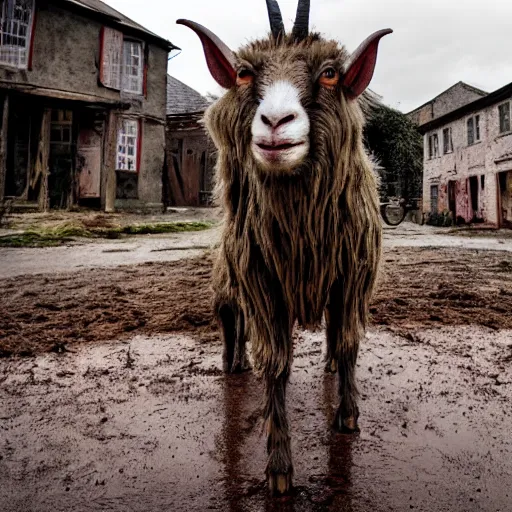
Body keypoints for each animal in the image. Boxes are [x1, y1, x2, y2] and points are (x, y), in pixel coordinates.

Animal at [177, 0, 392, 496]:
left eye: (330, 73)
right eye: (242, 73)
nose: (276, 123)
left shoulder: (349, 277)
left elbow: (348, 343)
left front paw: (347, 416)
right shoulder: (262, 283)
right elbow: (275, 365)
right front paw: (278, 468)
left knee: (332, 337)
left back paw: (326, 366)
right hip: (229, 280)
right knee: (230, 321)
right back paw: (233, 363)